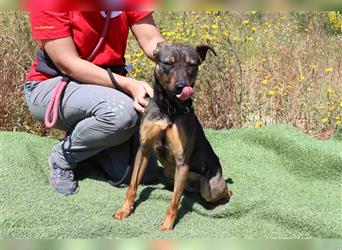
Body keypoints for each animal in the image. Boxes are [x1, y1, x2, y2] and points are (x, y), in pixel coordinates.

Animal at [113, 42, 234, 230]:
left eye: (192, 65)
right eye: (167, 63)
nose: (181, 87)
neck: (170, 109)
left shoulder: (182, 162)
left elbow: (174, 203)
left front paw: (166, 227)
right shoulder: (144, 150)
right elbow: (132, 185)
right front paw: (124, 210)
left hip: (210, 186)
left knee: (224, 192)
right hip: (169, 172)